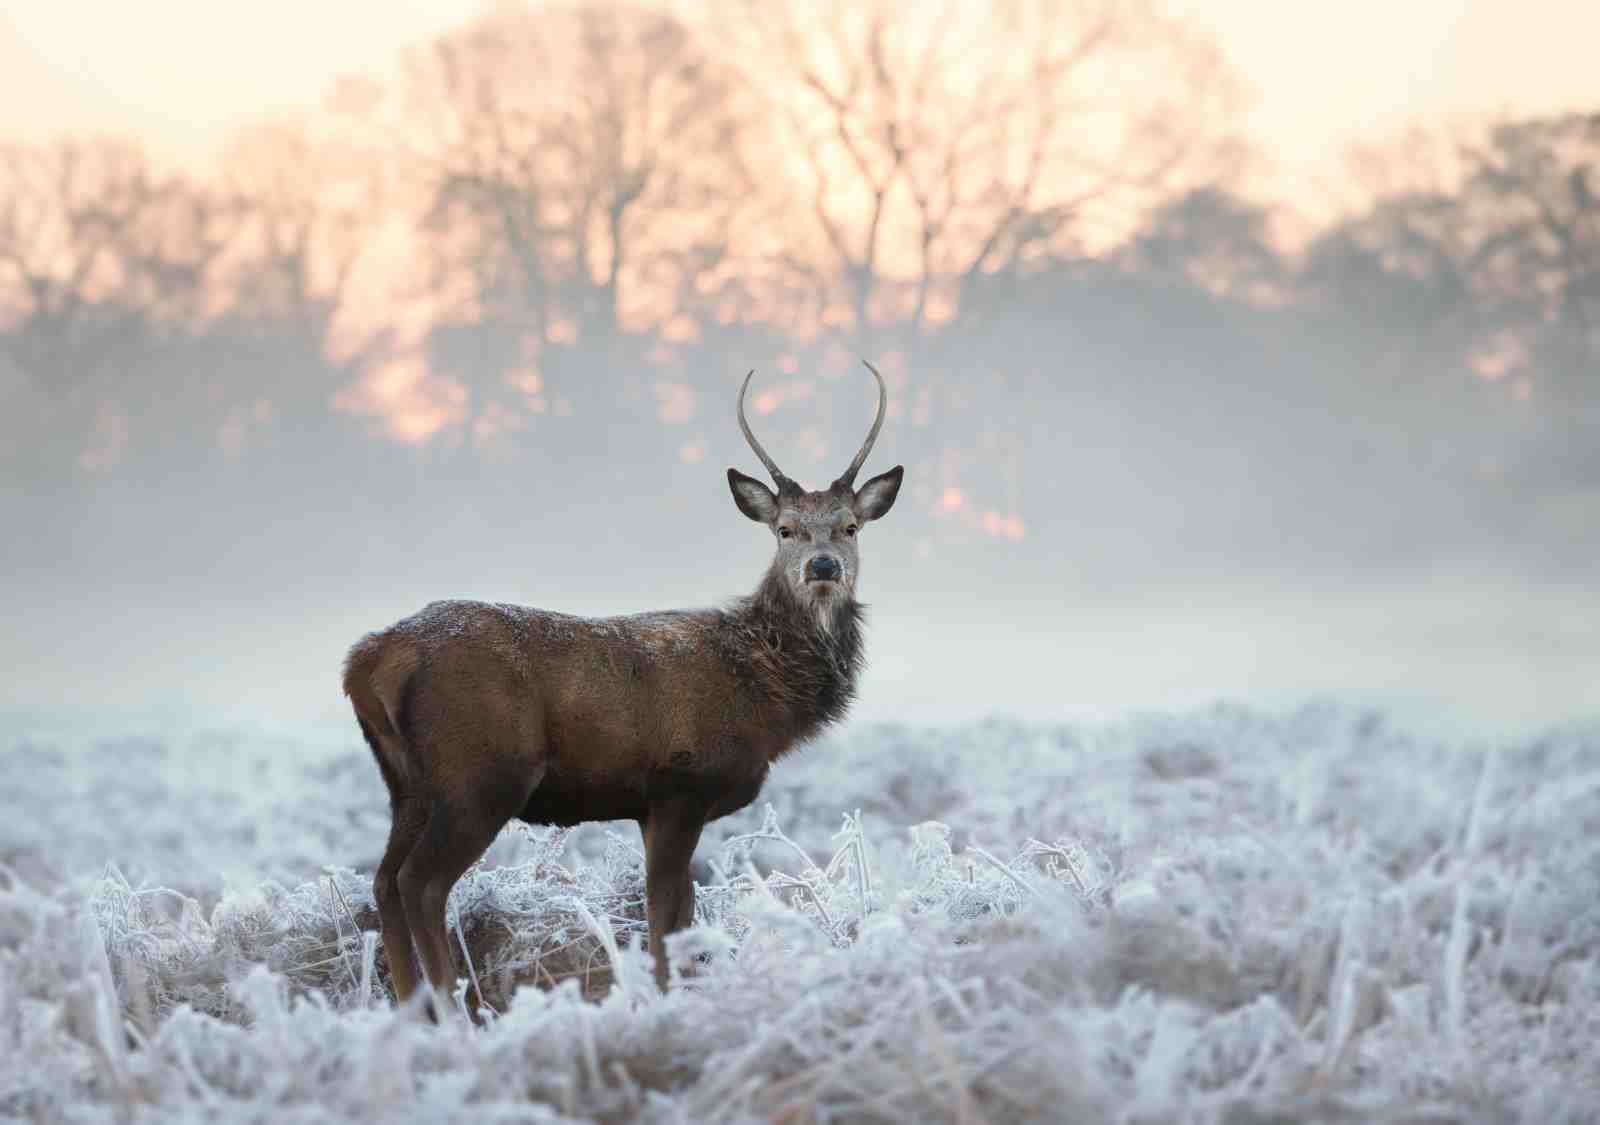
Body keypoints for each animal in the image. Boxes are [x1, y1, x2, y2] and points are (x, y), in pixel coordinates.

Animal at [342, 363, 903, 1015]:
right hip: (480, 772)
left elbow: (681, 910)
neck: (764, 696)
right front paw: (664, 1001)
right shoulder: (681, 783)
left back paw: (412, 1013)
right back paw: (453, 1010)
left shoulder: (656, 804)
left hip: (407, 782)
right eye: (785, 529)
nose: (822, 566)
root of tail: (367, 659)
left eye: (849, 527)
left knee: (384, 880)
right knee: (420, 883)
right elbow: (664, 913)